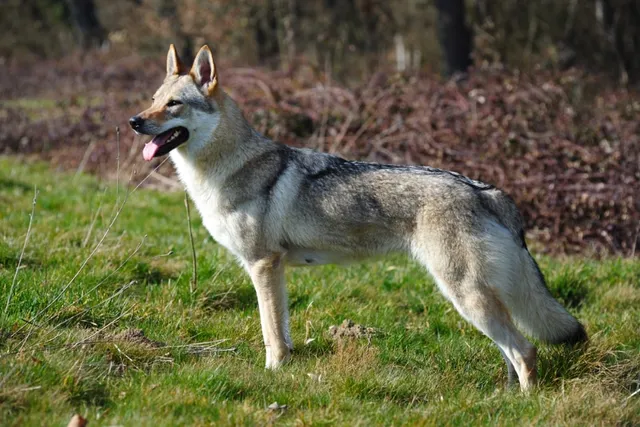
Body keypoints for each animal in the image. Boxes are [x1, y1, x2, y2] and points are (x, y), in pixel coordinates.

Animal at [129, 45, 587, 392]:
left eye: (173, 104)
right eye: (152, 99)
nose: (134, 121)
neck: (226, 168)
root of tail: (484, 189)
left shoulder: (263, 265)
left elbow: (271, 335)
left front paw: (273, 375)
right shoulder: (275, 270)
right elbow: (282, 331)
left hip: (465, 295)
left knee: (525, 349)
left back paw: (525, 403)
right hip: (478, 300)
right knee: (511, 350)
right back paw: (501, 397)